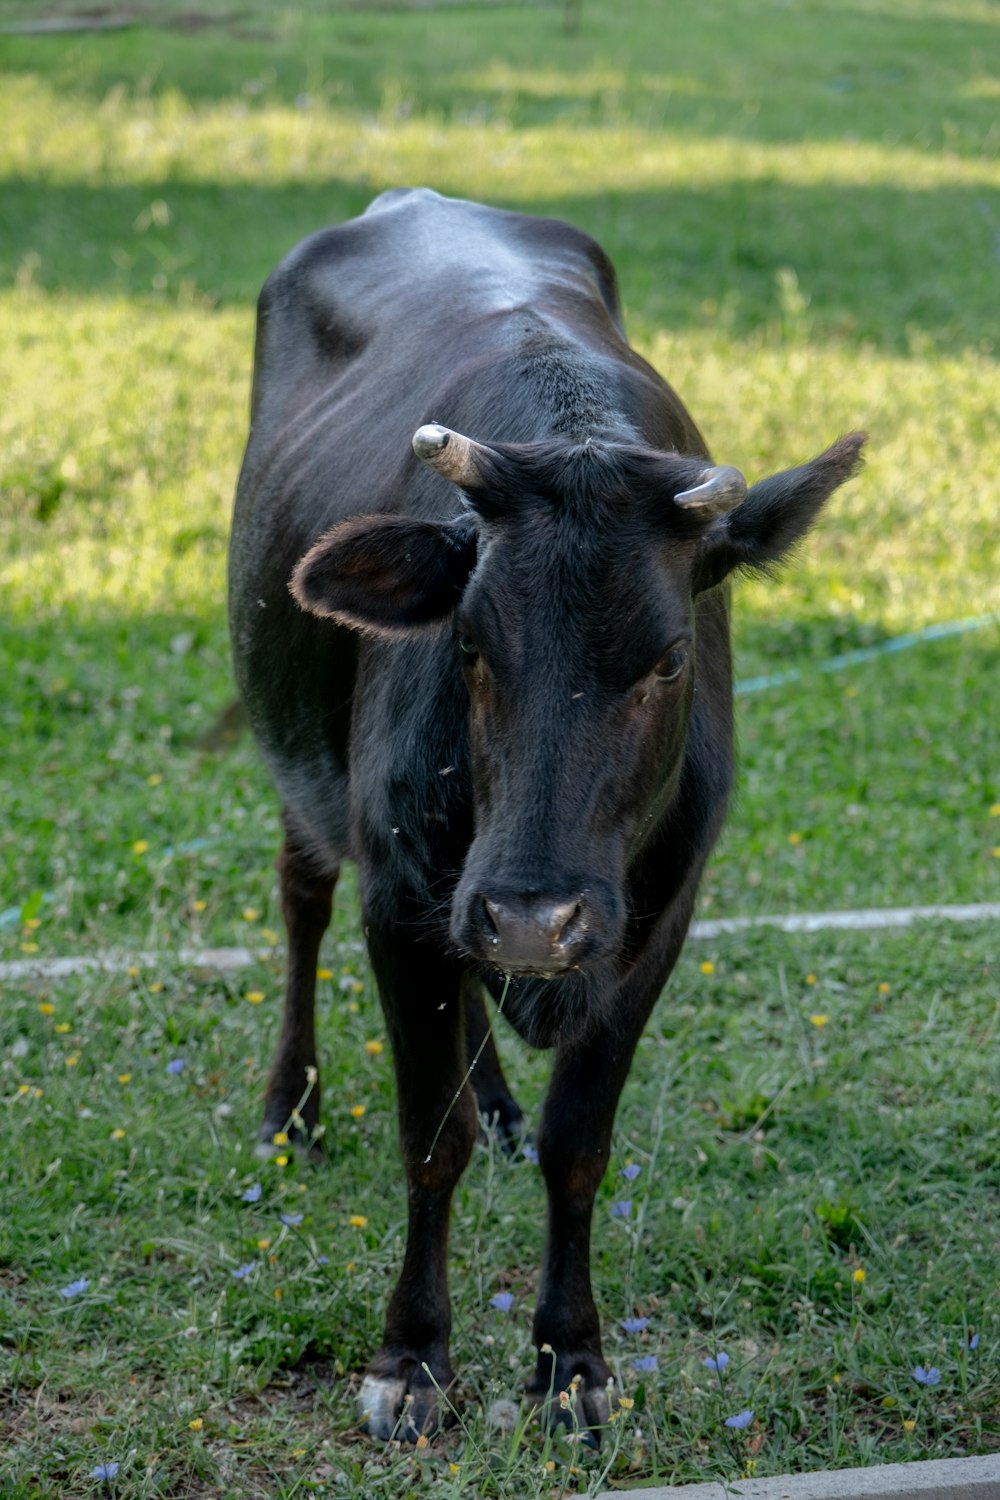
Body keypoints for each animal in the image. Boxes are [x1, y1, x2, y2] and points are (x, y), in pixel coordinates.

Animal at [226, 187, 863, 1440]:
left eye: (668, 658)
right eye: (470, 642)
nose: (532, 916)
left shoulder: (653, 918)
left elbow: (579, 1144)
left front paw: (572, 1361)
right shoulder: (402, 896)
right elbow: (432, 1139)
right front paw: (412, 1359)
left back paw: (499, 1093)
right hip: (314, 782)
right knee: (300, 898)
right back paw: (291, 1110)